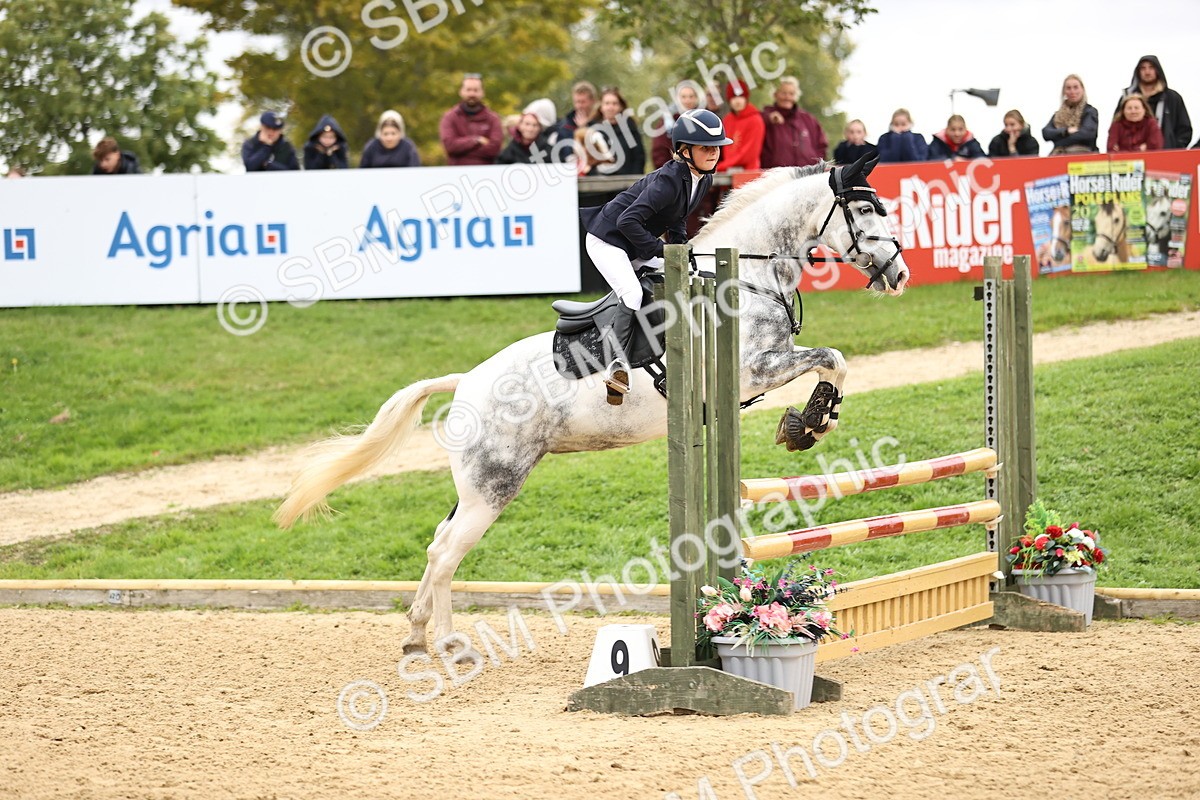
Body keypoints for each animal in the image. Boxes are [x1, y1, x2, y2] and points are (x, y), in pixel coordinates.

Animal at [274, 153, 910, 654]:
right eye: (868, 211)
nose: (900, 273)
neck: (744, 278)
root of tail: (464, 382)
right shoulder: (757, 367)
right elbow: (833, 357)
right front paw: (811, 421)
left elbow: (834, 359)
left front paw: (809, 420)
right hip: (494, 483)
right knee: (449, 552)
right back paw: (450, 643)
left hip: (474, 485)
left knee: (436, 544)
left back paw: (414, 634)